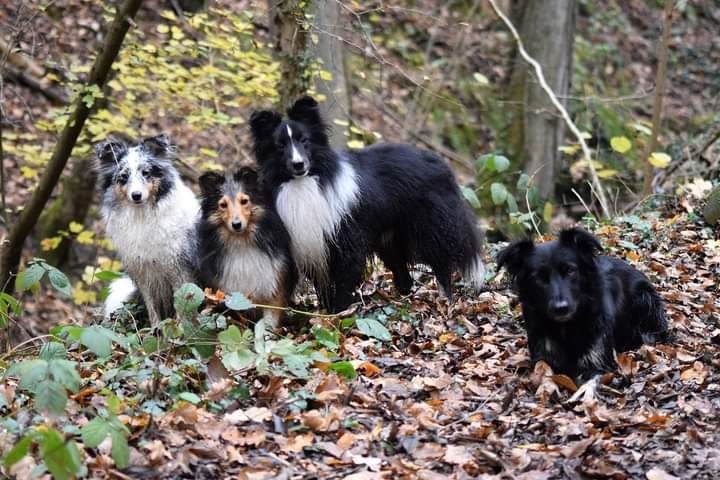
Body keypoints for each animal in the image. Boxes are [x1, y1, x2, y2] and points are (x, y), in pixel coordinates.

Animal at [498, 229, 668, 382]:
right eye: (538, 278)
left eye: (570, 270)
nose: (561, 308)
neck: (566, 327)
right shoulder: (543, 356)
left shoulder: (596, 360)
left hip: (645, 297)